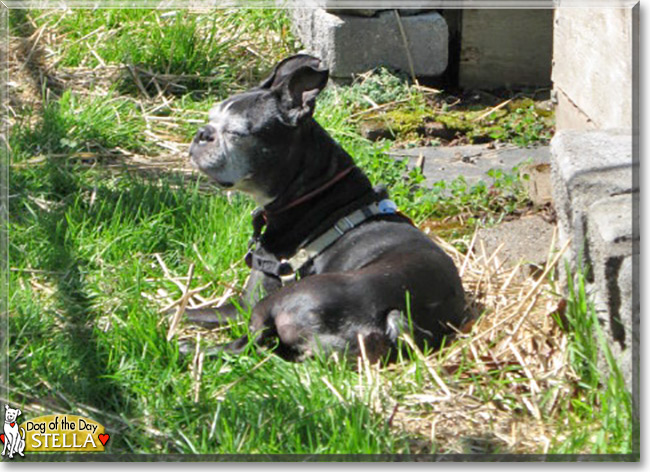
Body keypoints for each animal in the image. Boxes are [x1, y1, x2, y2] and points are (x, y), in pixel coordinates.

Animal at [186, 53, 466, 362]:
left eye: (236, 132)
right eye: (211, 118)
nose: (201, 133)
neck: (314, 193)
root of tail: (391, 317)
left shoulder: (245, 303)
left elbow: (188, 311)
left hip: (272, 303)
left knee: (245, 344)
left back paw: (187, 348)